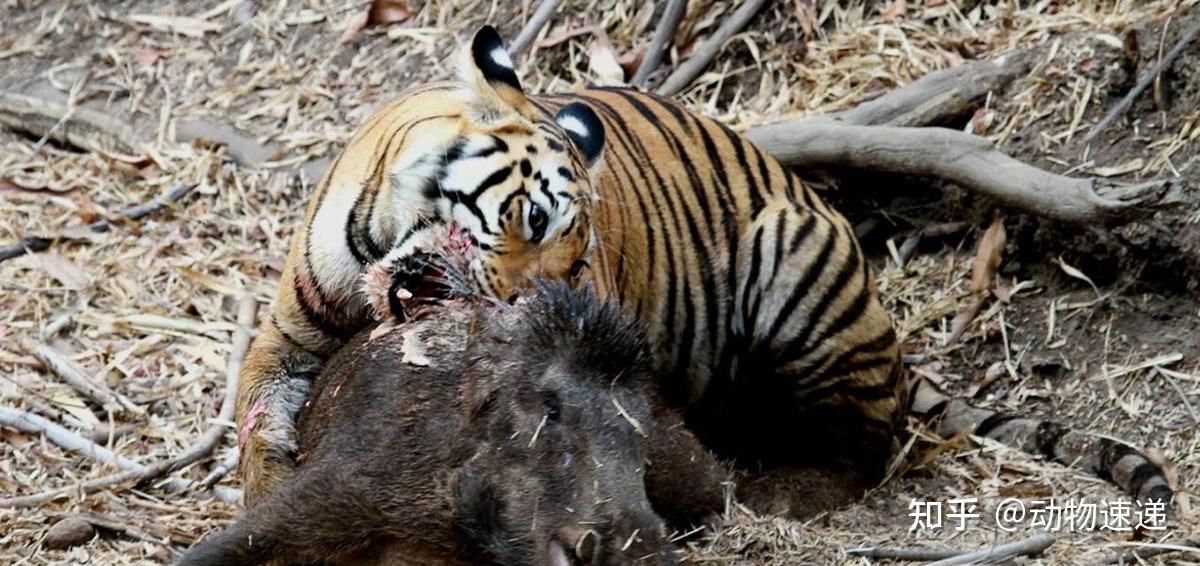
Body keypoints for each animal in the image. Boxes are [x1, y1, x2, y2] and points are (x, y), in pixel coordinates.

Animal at [234, 23, 1171, 518]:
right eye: (533, 219)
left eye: (579, 260)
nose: (528, 308)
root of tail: (895, 346)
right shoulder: (284, 335)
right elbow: (253, 417)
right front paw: (267, 487)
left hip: (792, 262)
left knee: (867, 446)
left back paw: (777, 490)